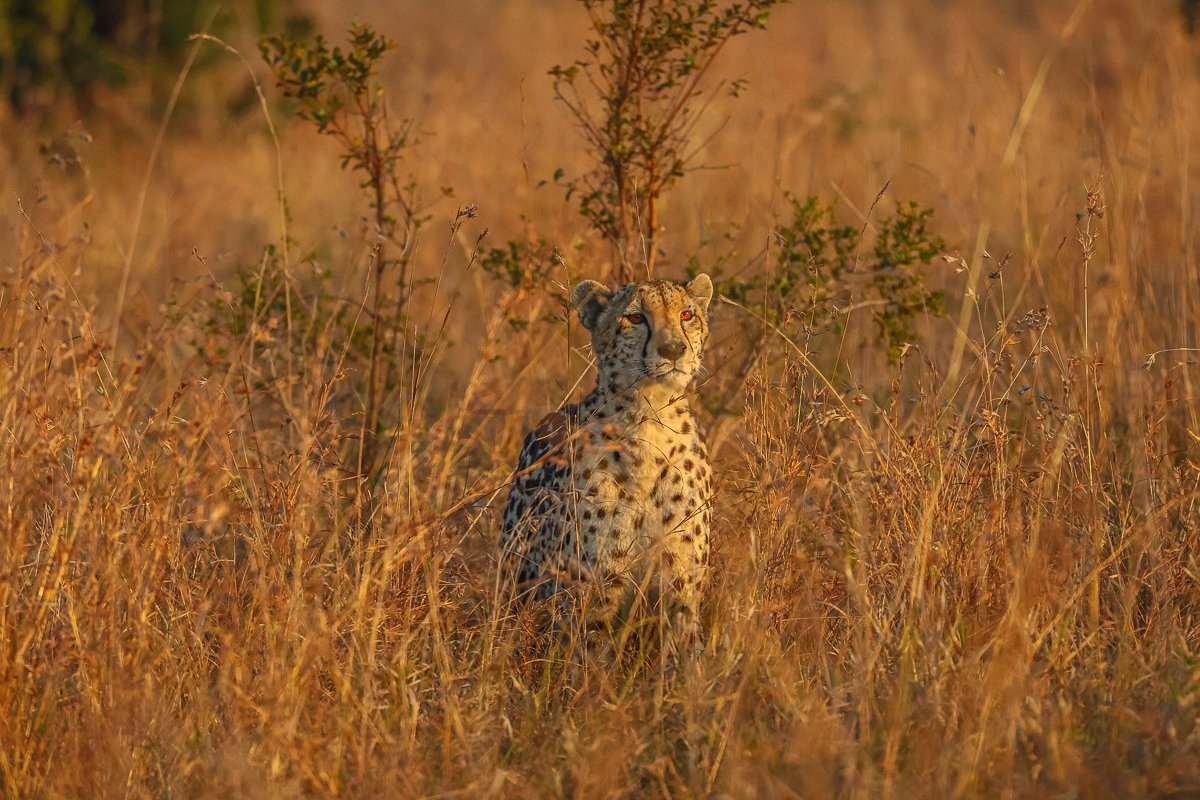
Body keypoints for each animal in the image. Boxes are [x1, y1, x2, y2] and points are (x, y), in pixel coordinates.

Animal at [500, 273, 715, 642]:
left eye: (686, 315)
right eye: (636, 318)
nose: (674, 350)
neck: (651, 419)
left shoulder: (681, 584)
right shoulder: (594, 589)